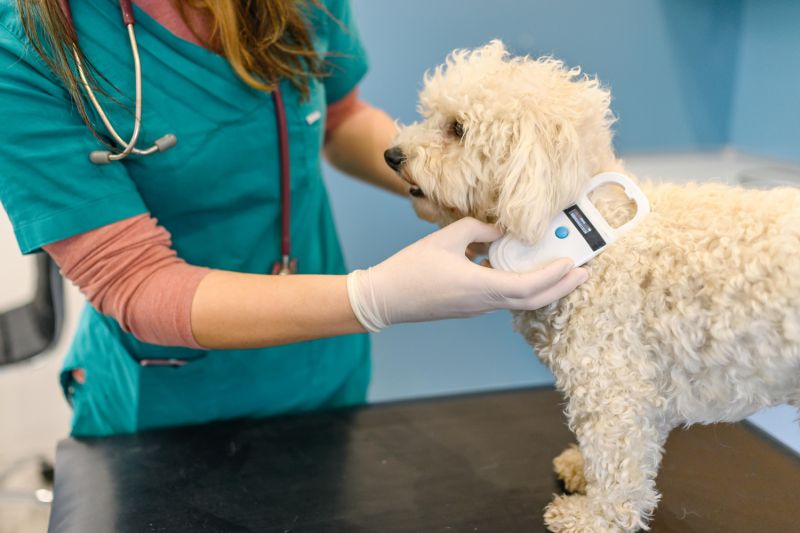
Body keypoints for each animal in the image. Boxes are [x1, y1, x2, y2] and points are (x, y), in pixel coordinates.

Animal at [386, 41, 800, 532]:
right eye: (429, 115)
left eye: (457, 128)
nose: (391, 154)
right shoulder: (642, 383)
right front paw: (582, 470)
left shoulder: (612, 381)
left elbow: (617, 461)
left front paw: (595, 517)